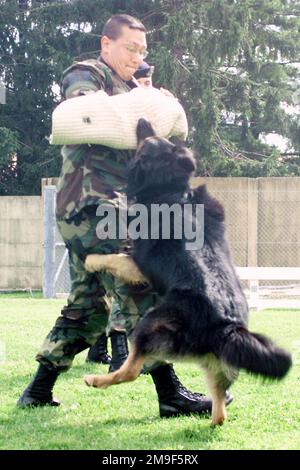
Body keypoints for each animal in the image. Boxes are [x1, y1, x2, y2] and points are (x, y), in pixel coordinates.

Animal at [84, 118, 290, 426]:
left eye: (147, 139)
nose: (142, 120)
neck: (171, 190)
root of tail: (226, 327)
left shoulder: (139, 263)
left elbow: (114, 257)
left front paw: (91, 259)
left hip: (150, 323)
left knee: (131, 371)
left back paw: (96, 380)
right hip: (217, 365)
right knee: (221, 408)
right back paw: (209, 420)